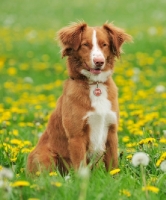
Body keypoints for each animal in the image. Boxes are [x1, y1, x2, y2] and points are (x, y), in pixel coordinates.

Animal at [26, 21, 132, 174]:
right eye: (85, 44)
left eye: (104, 44)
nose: (99, 61)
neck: (95, 84)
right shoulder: (76, 136)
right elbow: (81, 168)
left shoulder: (111, 132)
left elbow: (113, 167)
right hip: (45, 155)